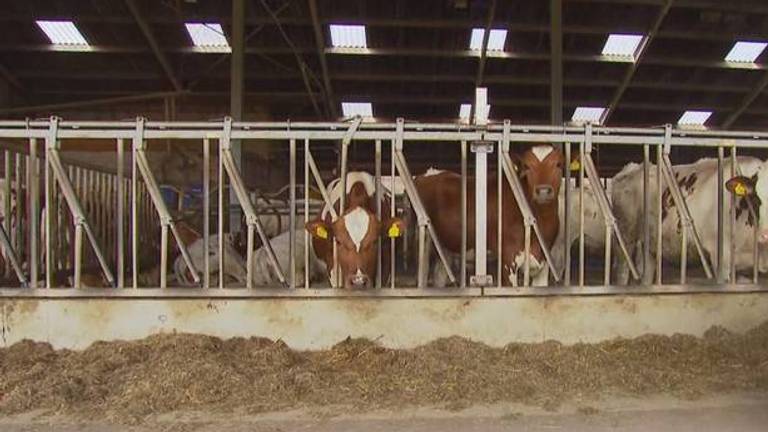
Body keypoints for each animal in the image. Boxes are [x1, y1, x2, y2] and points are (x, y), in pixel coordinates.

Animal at [414, 145, 564, 286]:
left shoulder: (544, 263)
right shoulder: (508, 262)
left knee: (439, 275)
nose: (543, 191)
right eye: (527, 166)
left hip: (446, 245)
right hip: (425, 240)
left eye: (558, 164)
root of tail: (431, 172)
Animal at [608, 157, 768, 286]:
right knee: (622, 272)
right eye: (756, 198)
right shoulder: (721, 258)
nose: (765, 235)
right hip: (624, 237)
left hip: (650, 245)